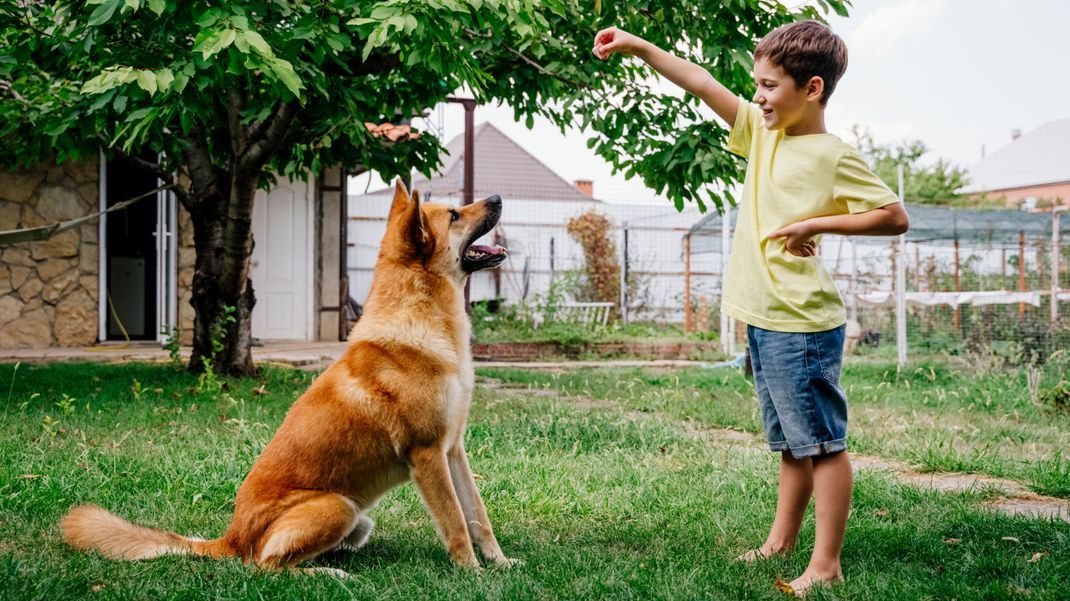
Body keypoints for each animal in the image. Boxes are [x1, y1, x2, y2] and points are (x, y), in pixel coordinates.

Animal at [60, 179, 515, 573]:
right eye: (454, 215)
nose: (497, 198)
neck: (419, 317)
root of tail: (231, 540)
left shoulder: (453, 451)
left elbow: (477, 515)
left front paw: (499, 564)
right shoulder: (427, 455)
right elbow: (456, 522)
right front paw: (472, 574)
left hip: (358, 519)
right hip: (337, 506)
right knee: (268, 566)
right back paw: (330, 576)